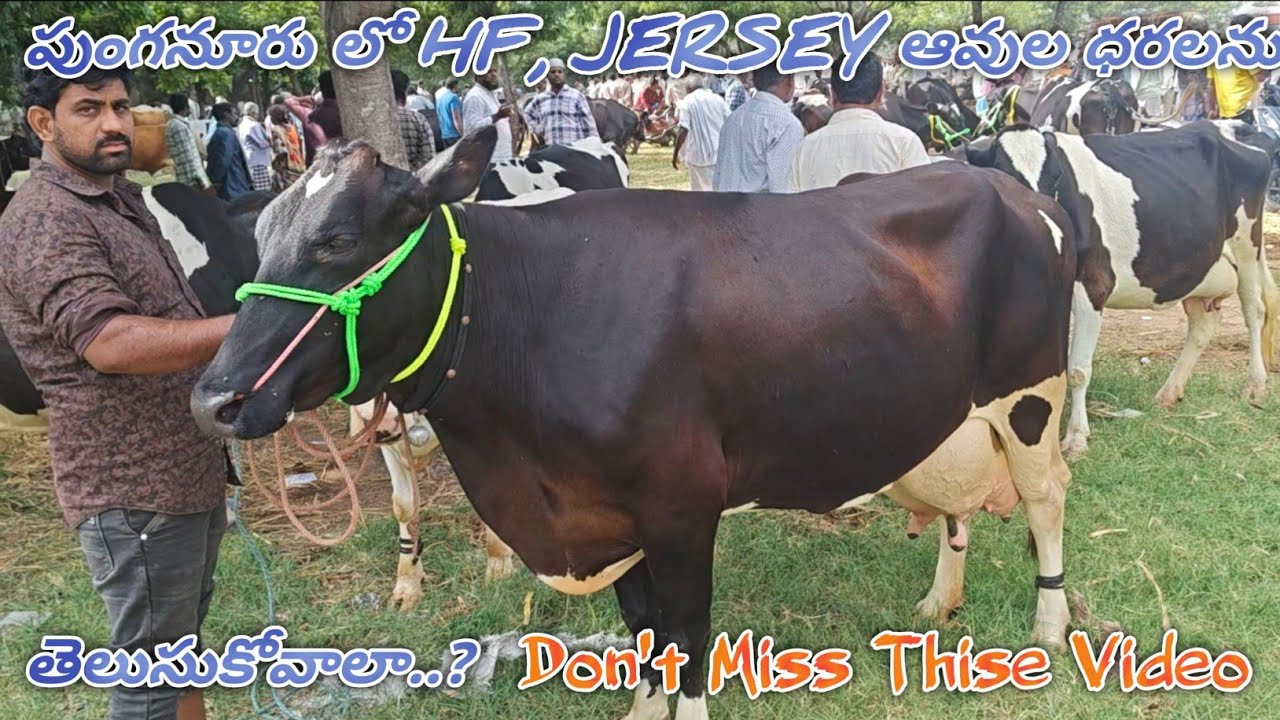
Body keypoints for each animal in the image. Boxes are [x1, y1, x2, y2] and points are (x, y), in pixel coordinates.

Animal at [967, 122, 1280, 459]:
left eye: (1056, 176)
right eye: (1005, 175)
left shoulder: (1093, 283)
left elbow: (1077, 369)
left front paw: (1076, 437)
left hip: (1247, 243)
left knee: (1254, 310)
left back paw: (1255, 385)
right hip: (1199, 267)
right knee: (1202, 326)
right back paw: (1169, 393)